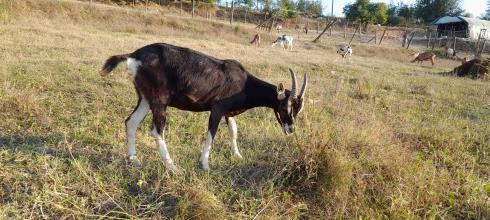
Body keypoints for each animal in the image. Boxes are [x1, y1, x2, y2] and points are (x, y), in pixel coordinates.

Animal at [99, 42, 306, 172]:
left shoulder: (228, 112)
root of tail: (134, 56)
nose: (290, 129)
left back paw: (134, 160)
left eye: (298, 109)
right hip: (159, 100)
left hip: (144, 98)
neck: (245, 83)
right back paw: (173, 166)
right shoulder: (217, 108)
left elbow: (233, 131)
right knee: (157, 130)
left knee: (131, 122)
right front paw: (205, 164)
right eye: (284, 107)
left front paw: (237, 155)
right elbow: (211, 134)